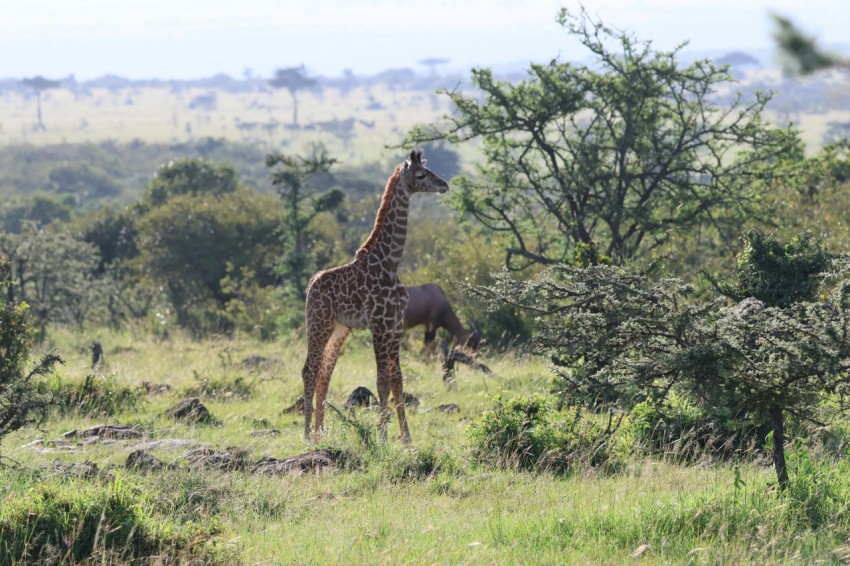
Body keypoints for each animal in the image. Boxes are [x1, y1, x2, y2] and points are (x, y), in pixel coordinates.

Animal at [298, 150, 448, 444]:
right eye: (421, 175)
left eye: (430, 170)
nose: (444, 185)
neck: (389, 263)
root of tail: (311, 284)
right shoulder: (378, 324)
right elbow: (381, 380)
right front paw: (382, 436)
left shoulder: (395, 325)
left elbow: (397, 379)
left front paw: (406, 438)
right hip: (319, 322)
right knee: (309, 370)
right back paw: (308, 434)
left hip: (338, 329)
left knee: (323, 374)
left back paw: (321, 433)